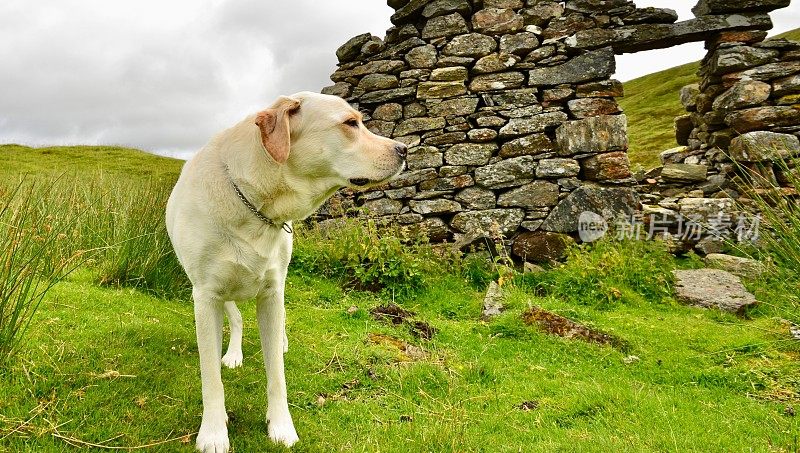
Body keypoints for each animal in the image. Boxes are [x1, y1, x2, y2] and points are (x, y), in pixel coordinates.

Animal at [167, 90, 406, 450]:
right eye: (350, 124)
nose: (404, 149)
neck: (255, 203)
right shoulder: (206, 296)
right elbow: (211, 377)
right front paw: (213, 432)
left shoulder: (271, 292)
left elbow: (276, 374)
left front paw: (281, 426)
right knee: (236, 320)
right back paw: (233, 354)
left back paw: (279, 342)